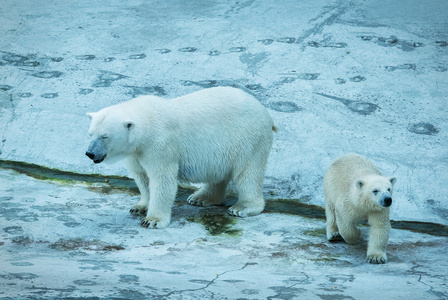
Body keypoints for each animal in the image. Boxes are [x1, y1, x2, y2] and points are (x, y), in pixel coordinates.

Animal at [85, 87, 276, 230]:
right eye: (90, 133)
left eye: (105, 136)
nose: (90, 153)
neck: (147, 122)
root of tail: (264, 110)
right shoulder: (135, 153)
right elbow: (142, 178)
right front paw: (139, 207)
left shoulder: (160, 145)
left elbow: (162, 180)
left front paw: (152, 220)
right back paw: (201, 198)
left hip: (248, 138)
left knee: (247, 172)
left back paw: (242, 207)